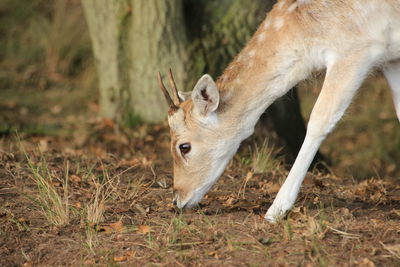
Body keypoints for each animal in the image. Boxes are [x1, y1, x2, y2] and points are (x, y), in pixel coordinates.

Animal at [157, 0, 400, 223]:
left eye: (184, 147)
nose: (177, 200)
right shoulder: (391, 58)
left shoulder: (355, 50)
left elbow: (318, 120)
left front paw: (276, 210)